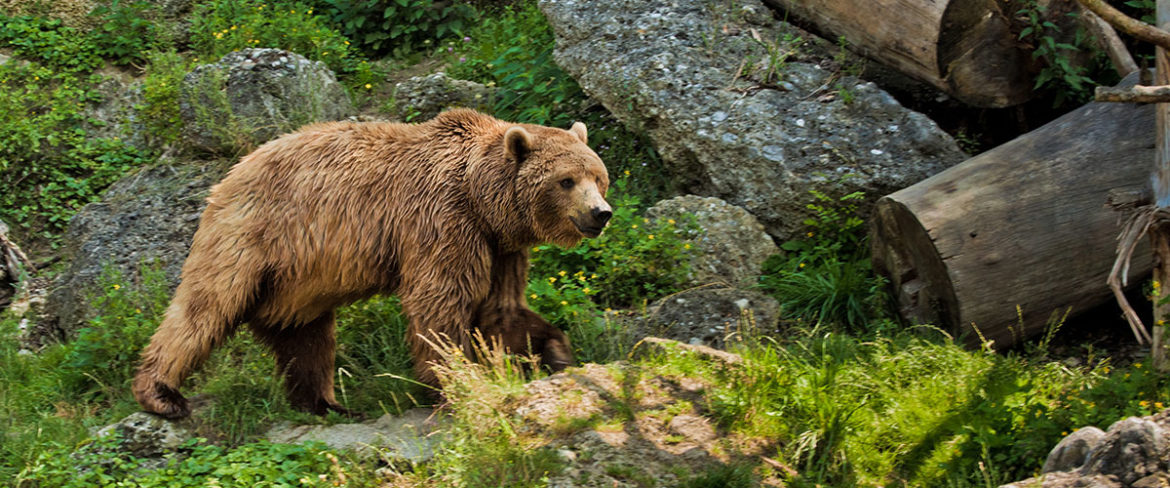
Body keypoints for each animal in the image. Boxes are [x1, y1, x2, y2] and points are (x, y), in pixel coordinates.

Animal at [131, 109, 613, 418]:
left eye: (598, 176)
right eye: (566, 180)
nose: (600, 213)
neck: (483, 200)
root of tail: (230, 172)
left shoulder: (500, 248)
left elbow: (501, 310)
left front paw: (556, 352)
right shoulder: (442, 221)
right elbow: (439, 303)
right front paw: (458, 382)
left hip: (296, 280)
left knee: (304, 335)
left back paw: (325, 403)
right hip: (252, 235)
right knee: (205, 307)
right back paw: (162, 394)